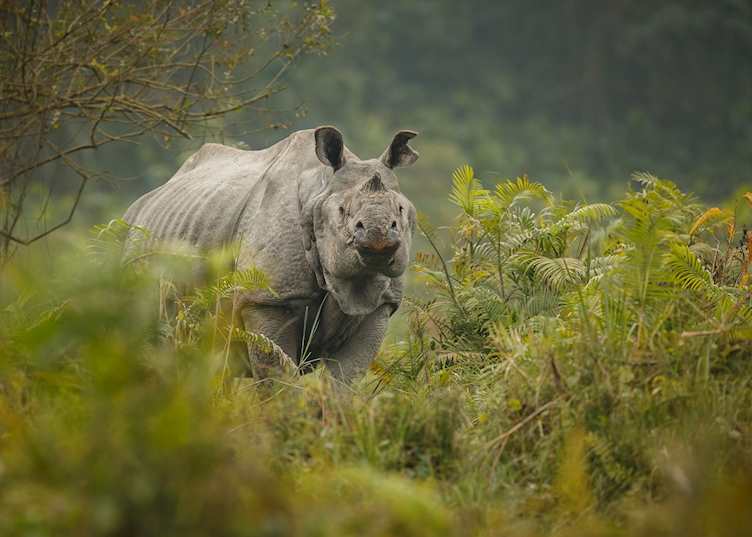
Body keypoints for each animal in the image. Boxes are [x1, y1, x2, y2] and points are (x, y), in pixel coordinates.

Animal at [123, 126, 419, 381]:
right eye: (342, 211)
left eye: (401, 210)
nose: (378, 237)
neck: (319, 190)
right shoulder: (267, 299)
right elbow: (277, 377)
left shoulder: (380, 305)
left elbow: (345, 379)